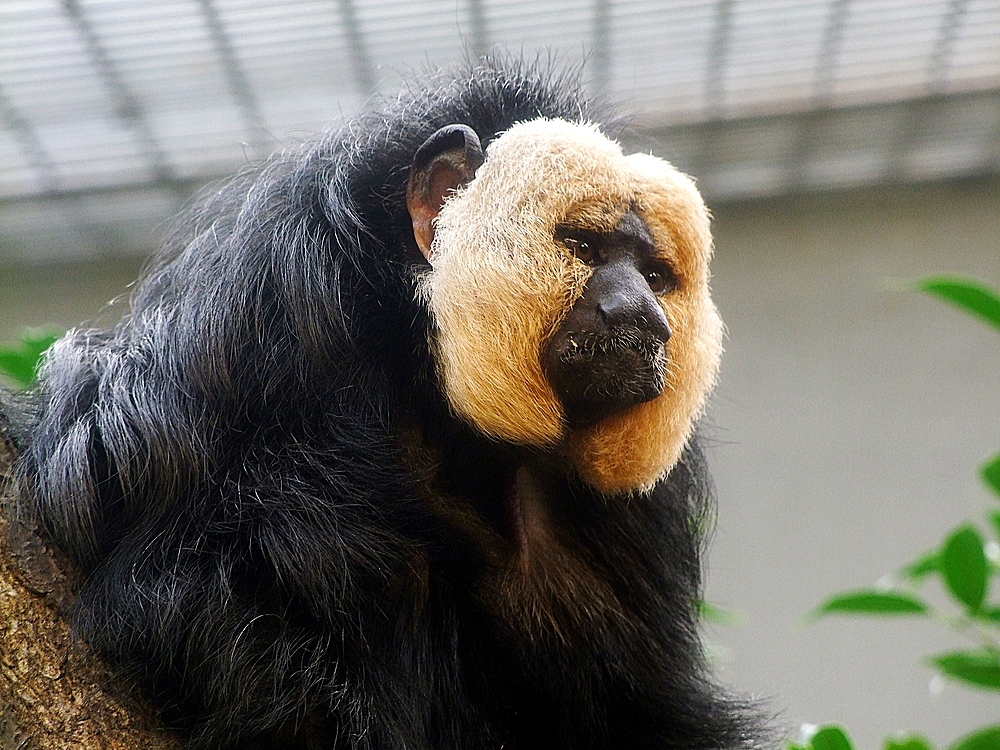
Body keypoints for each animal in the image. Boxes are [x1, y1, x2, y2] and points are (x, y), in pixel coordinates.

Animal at [1, 60, 764, 750]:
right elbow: (178, 594)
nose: (641, 318)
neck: (440, 405)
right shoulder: (269, 312)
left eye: (655, 276)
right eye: (583, 245)